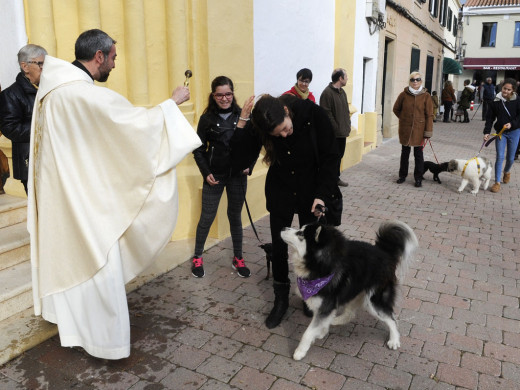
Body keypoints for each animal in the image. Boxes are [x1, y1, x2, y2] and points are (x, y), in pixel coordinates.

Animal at [280, 221, 418, 362]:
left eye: (301, 234)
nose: (283, 227)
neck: (322, 265)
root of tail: (384, 252)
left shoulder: (325, 305)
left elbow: (308, 333)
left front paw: (300, 351)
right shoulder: (325, 305)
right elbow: (320, 323)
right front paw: (321, 331)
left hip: (373, 301)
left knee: (391, 318)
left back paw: (394, 340)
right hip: (354, 290)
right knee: (350, 314)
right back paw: (335, 320)